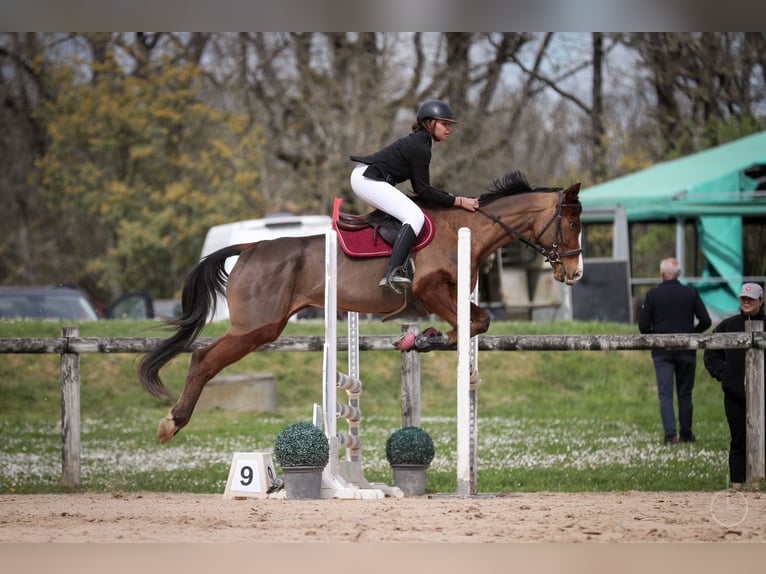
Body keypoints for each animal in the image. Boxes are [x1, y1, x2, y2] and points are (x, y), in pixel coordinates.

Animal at [140, 171, 584, 446]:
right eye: (572, 225)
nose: (575, 273)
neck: (471, 229)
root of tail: (251, 247)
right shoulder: (428, 288)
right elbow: (473, 322)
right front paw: (426, 338)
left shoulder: (452, 293)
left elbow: (477, 321)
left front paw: (423, 339)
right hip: (256, 327)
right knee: (202, 359)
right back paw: (171, 423)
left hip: (260, 326)